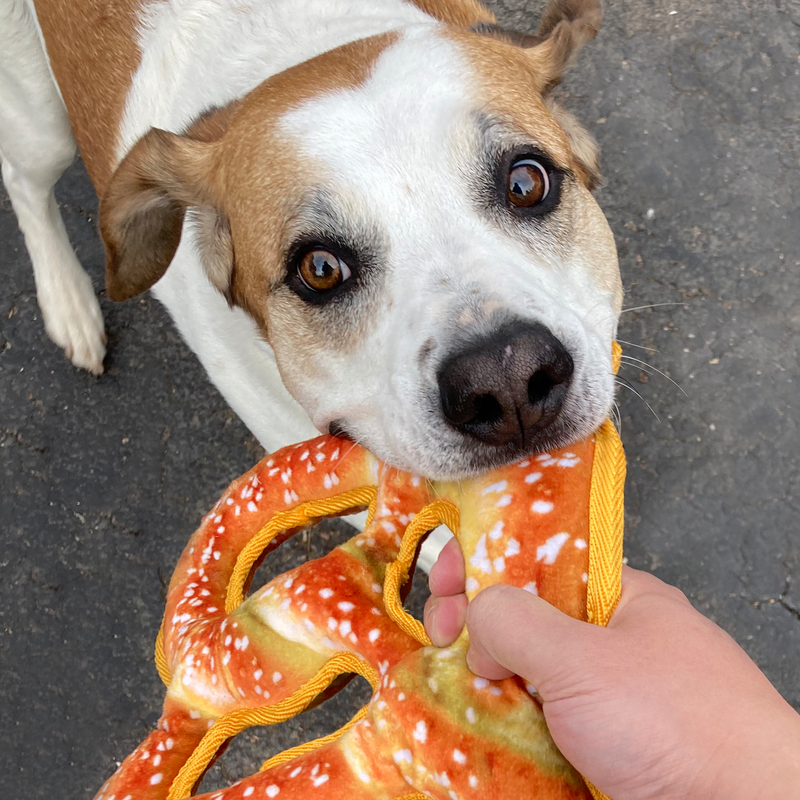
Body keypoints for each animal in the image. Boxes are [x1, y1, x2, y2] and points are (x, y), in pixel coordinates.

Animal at [0, 0, 620, 490]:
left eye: (526, 182)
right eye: (319, 269)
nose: (506, 379)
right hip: (41, 122)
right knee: (25, 183)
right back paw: (70, 307)